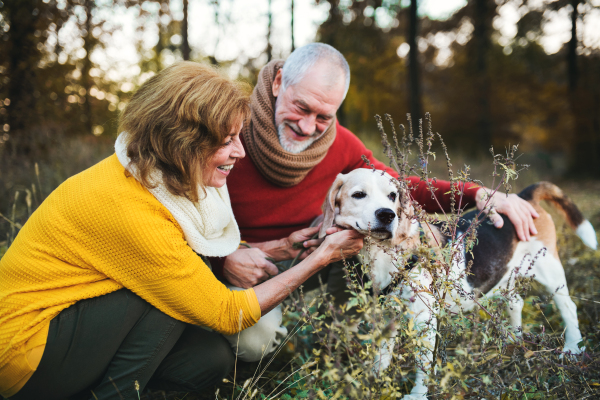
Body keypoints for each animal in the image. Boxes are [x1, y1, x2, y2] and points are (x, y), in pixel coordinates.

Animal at [318, 169, 596, 400]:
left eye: (392, 195)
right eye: (359, 195)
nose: (387, 215)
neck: (383, 252)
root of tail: (523, 197)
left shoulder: (424, 320)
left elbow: (423, 364)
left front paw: (418, 395)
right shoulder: (387, 316)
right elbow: (381, 355)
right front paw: (374, 381)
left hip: (550, 271)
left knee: (569, 308)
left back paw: (572, 348)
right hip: (507, 276)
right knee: (516, 302)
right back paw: (512, 341)